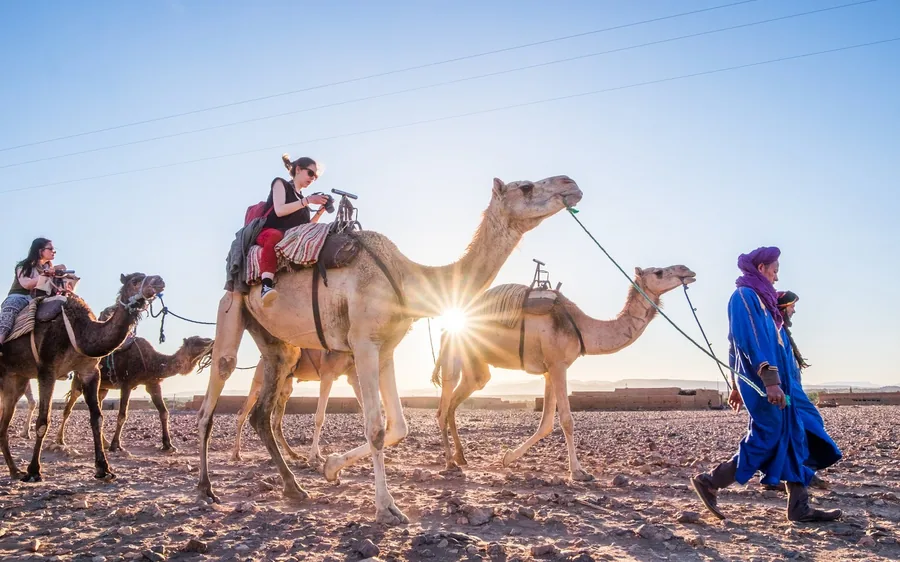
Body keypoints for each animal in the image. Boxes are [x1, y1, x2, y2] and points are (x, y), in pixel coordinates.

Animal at [0, 272, 165, 482]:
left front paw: (104, 469)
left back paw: (15, 471)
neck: (79, 331)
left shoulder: (89, 371)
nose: (159, 280)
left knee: (3, 425)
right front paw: (34, 471)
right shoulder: (47, 369)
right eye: (135, 280)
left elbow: (97, 418)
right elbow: (43, 421)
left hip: (15, 379)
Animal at [55, 335, 214, 454]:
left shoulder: (153, 384)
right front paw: (116, 445)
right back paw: (60, 440)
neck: (154, 362)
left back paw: (103, 442)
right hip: (79, 378)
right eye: (198, 342)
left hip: (102, 387)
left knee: (98, 408)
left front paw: (168, 445)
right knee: (69, 407)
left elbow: (164, 412)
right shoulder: (127, 384)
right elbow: (122, 415)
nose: (212, 342)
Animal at [197, 175, 582, 524]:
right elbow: (376, 428)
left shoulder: (387, 349)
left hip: (277, 343)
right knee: (217, 385)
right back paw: (206, 488)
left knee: (262, 410)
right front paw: (387, 508)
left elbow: (399, 426)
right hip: (231, 307)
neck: (406, 278)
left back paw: (294, 488)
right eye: (527, 187)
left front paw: (331, 467)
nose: (571, 183)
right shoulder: (364, 343)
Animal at [432, 265, 696, 480]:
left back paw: (460, 457)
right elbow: (567, 420)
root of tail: (446, 328)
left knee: (460, 397)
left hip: (476, 365)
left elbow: (546, 423)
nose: (687, 271)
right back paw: (449, 463)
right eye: (659, 272)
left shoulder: (549, 370)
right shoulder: (559, 365)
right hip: (454, 353)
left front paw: (508, 457)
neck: (581, 326)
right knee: (443, 405)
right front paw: (578, 471)